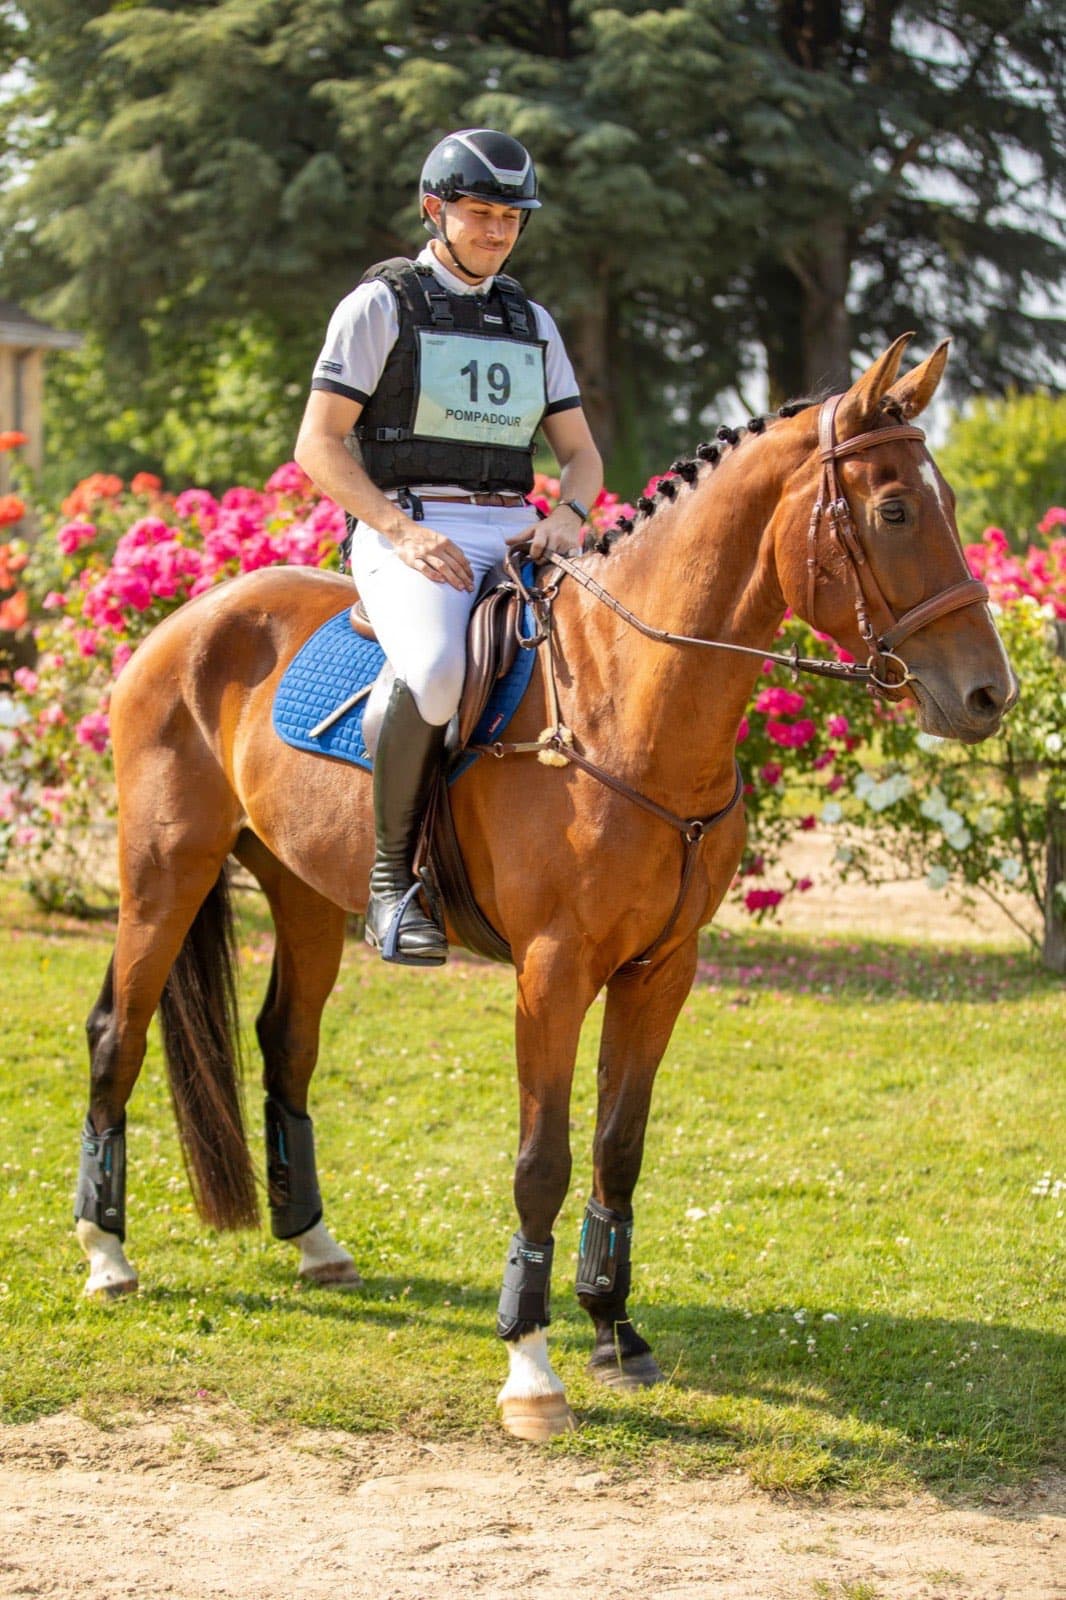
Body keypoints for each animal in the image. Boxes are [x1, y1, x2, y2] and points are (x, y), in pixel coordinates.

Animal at [75, 335, 1015, 1440]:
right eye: (896, 510)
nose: (988, 695)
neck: (631, 703)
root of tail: (188, 619)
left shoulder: (661, 969)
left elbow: (618, 1146)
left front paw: (614, 1330)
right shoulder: (552, 971)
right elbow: (543, 1158)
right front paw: (530, 1365)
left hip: (302, 894)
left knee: (286, 1043)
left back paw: (313, 1243)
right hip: (162, 873)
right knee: (120, 1032)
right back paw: (107, 1255)